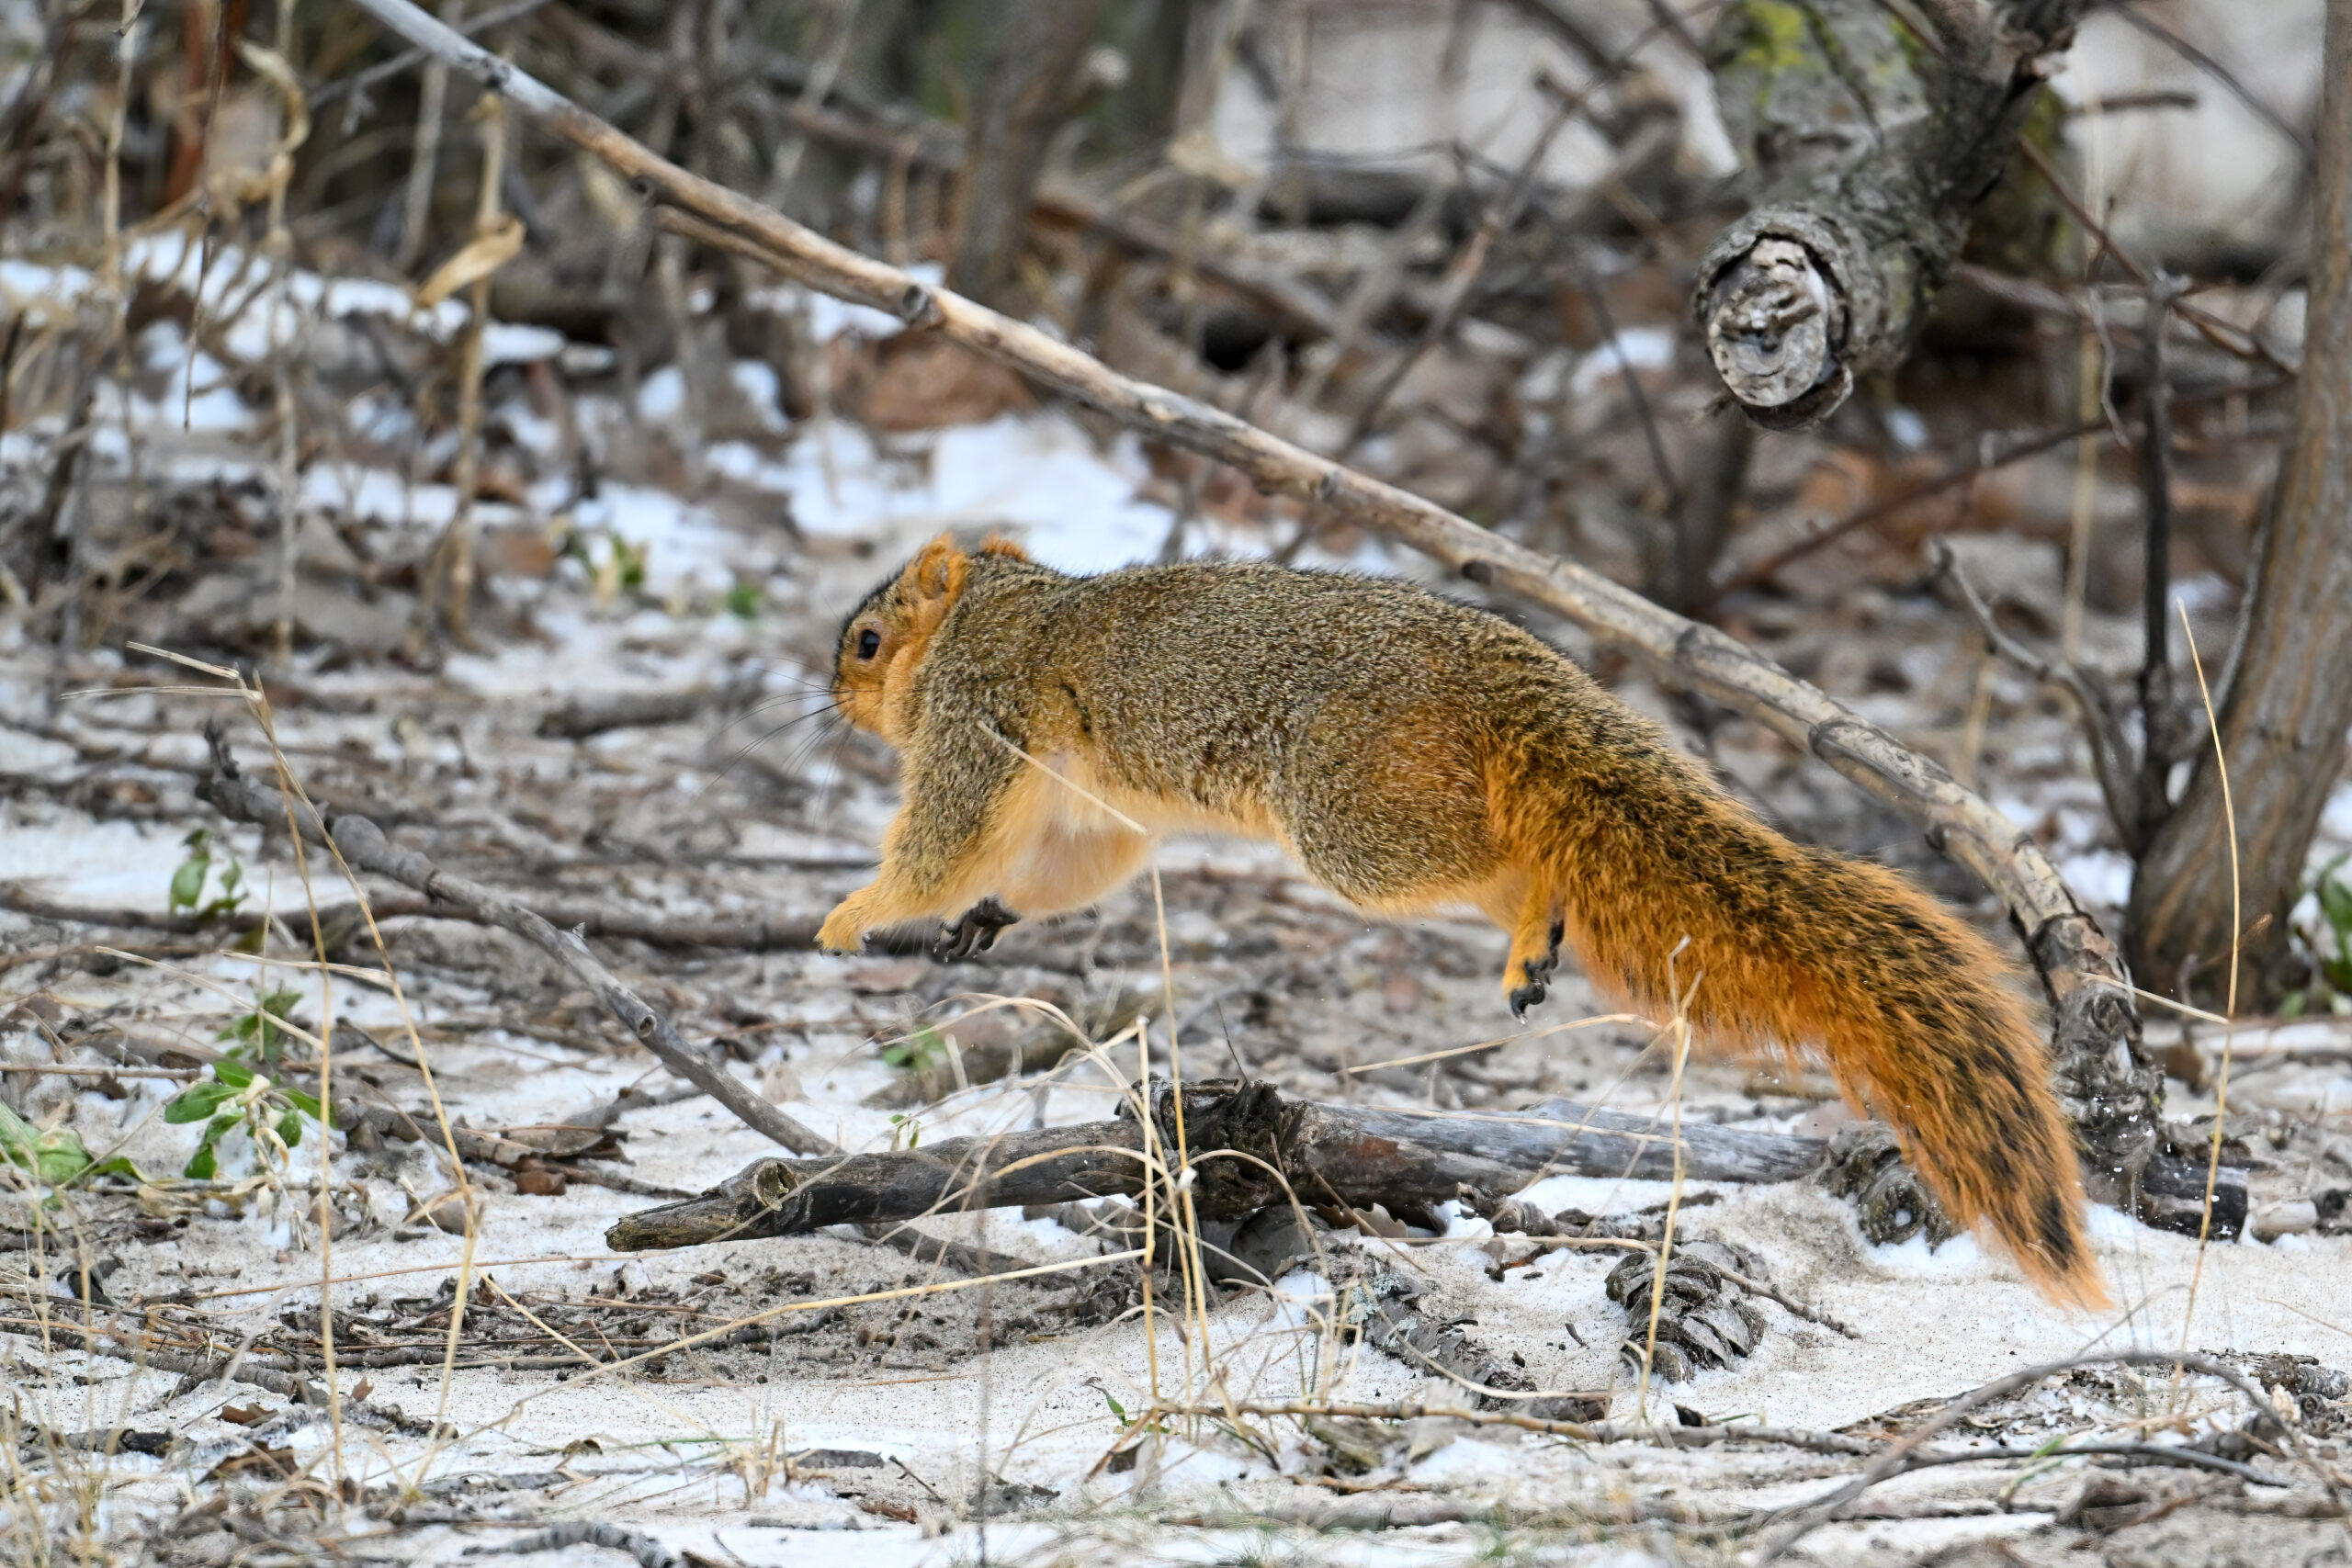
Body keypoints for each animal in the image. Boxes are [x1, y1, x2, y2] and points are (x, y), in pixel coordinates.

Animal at [816, 533, 2108, 1309]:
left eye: (868, 640)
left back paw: (1533, 921)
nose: (831, 699)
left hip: (1355, 815)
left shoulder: (978, 718)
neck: (1001, 607)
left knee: (1509, 858)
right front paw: (981, 917)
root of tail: (1498, 663)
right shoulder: (1085, 810)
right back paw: (1530, 946)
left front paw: (849, 914)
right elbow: (1060, 869)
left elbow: (938, 837)